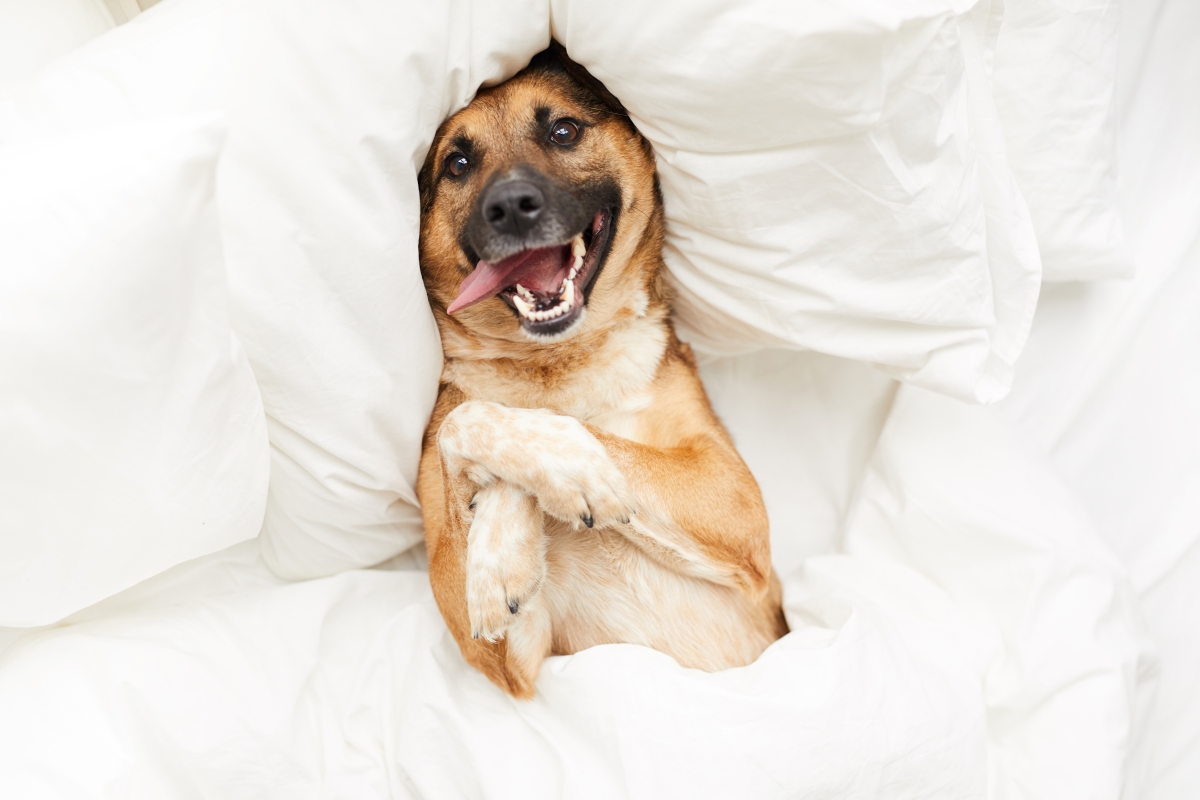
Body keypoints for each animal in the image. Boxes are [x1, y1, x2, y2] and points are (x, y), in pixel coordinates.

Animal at [415, 43, 787, 695]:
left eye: (563, 131)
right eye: (457, 163)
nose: (510, 207)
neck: (558, 365)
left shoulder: (735, 500)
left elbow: (578, 435)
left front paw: (567, 475)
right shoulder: (504, 659)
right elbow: (465, 420)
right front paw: (503, 555)